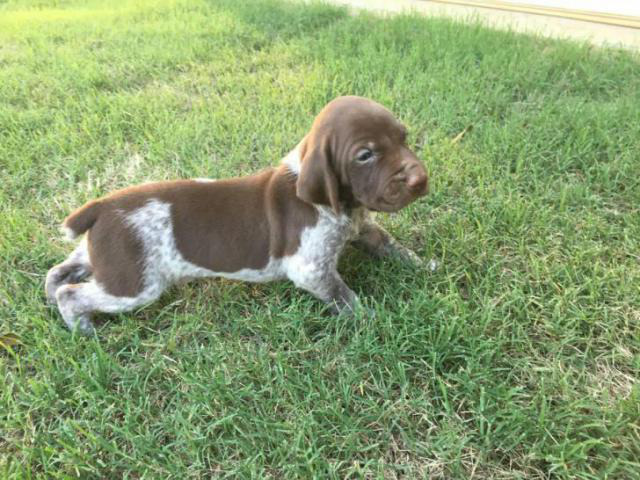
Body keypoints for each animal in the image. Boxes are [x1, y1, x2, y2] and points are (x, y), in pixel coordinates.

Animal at [46, 95, 430, 332]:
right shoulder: (311, 269)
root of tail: (101, 207)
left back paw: (53, 293)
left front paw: (424, 265)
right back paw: (82, 327)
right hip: (134, 283)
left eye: (403, 137)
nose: (421, 179)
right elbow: (344, 296)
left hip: (103, 258)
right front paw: (371, 319)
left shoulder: (363, 229)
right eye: (365, 155)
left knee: (60, 270)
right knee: (75, 294)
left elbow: (391, 246)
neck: (341, 208)